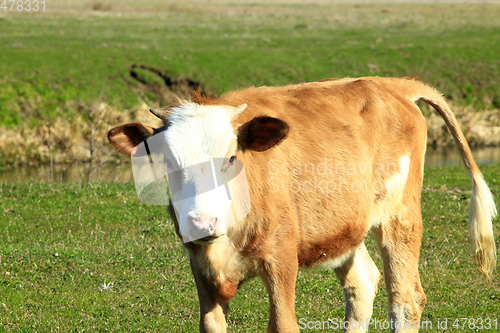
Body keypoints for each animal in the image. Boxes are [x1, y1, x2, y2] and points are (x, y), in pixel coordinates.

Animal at [107, 76, 494, 330]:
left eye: (231, 158)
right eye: (167, 162)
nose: (203, 222)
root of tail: (390, 84)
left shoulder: (281, 257)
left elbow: (283, 324)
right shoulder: (200, 266)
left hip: (399, 217)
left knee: (405, 300)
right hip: (344, 226)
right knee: (362, 284)